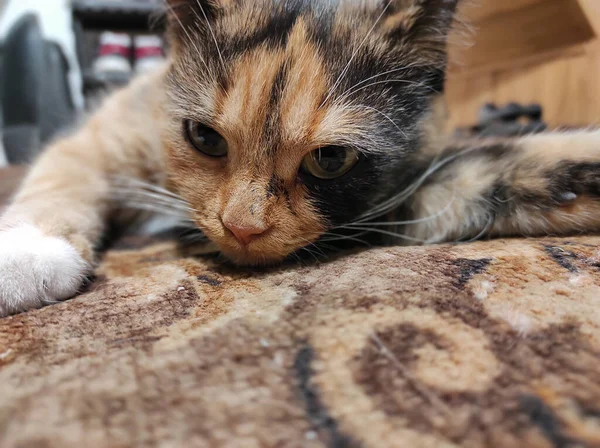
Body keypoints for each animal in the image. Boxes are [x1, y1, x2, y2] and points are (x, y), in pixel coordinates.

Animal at [1, 0, 600, 316]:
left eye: (331, 159)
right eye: (204, 137)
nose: (241, 227)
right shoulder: (112, 131)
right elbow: (62, 173)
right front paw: (27, 256)